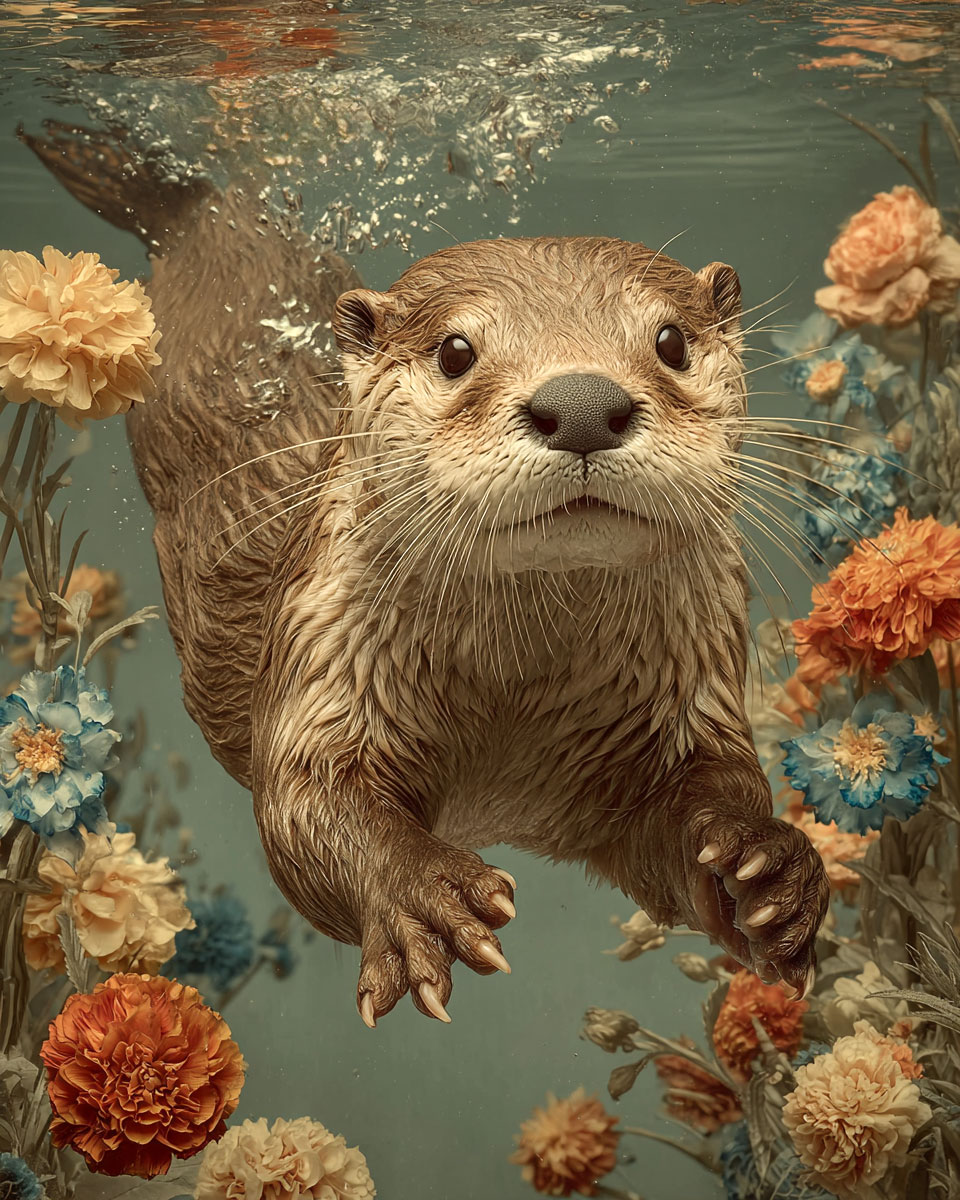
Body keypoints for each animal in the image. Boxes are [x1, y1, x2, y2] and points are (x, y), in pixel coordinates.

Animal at [26, 122, 829, 1025]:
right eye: (455, 351)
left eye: (671, 342)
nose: (584, 403)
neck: (521, 701)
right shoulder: (320, 650)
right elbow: (304, 806)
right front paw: (424, 896)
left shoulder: (687, 698)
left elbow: (702, 806)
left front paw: (771, 868)